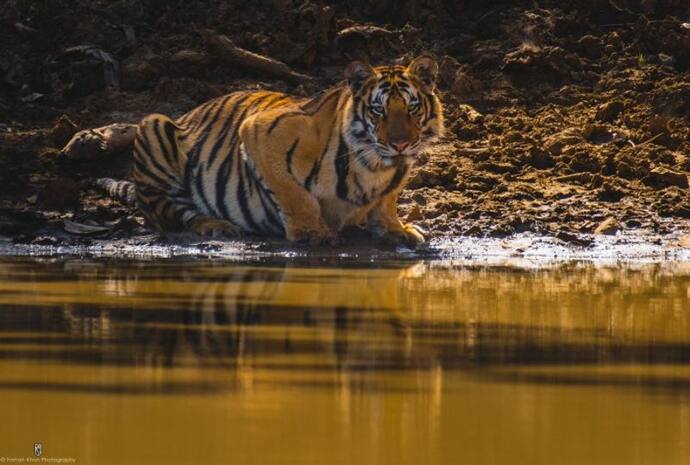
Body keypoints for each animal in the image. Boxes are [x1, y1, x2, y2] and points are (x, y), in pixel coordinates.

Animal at [105, 55, 444, 245]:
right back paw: (216, 225)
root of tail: (188, 112)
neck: (375, 166)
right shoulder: (258, 131)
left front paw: (395, 228)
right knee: (169, 213)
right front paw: (312, 232)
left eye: (412, 108)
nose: (400, 144)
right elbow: (293, 193)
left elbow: (386, 200)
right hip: (153, 125)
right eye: (378, 110)